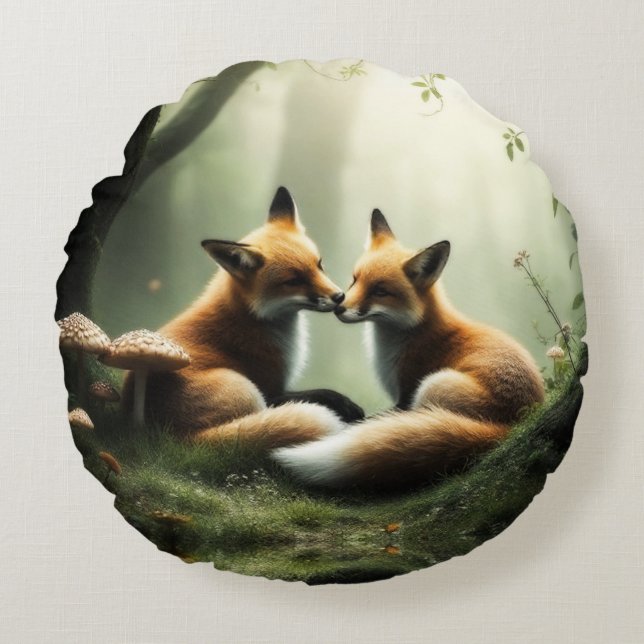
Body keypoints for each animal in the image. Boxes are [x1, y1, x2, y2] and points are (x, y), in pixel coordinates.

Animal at [125, 187, 363, 448]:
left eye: (319, 265)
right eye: (294, 281)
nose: (339, 297)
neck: (252, 316)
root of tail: (179, 439)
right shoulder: (271, 387)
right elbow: (318, 394)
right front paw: (345, 405)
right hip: (247, 390)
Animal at [273, 209, 545, 489]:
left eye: (380, 291)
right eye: (355, 279)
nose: (339, 307)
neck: (411, 333)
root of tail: (511, 427)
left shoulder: (405, 394)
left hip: (433, 385)